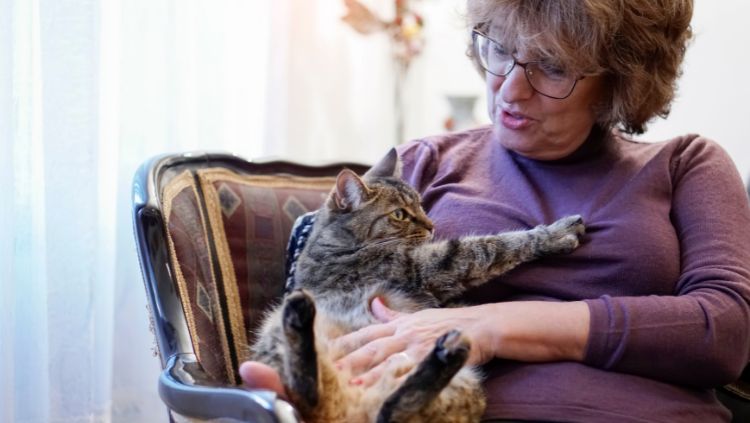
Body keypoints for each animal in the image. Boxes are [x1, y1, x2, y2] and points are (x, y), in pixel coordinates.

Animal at [253, 147, 588, 422]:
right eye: (400, 214)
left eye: (420, 204)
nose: (431, 225)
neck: (333, 242)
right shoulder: (426, 266)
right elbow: (492, 247)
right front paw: (553, 234)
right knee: (318, 396)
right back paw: (300, 315)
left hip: (463, 387)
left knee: (388, 411)